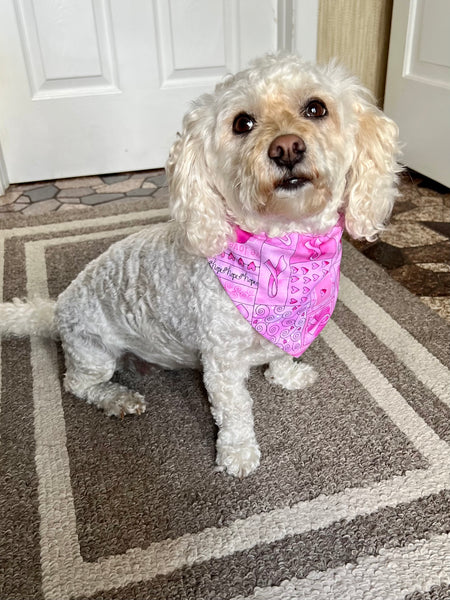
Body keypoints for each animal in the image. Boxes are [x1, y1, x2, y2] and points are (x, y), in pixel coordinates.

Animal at [0, 56, 400, 478]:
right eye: (242, 123)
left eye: (316, 108)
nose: (286, 148)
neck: (285, 248)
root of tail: (57, 307)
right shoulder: (221, 361)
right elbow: (236, 411)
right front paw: (238, 454)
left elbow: (280, 353)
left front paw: (287, 375)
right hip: (93, 352)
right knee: (75, 384)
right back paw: (118, 398)